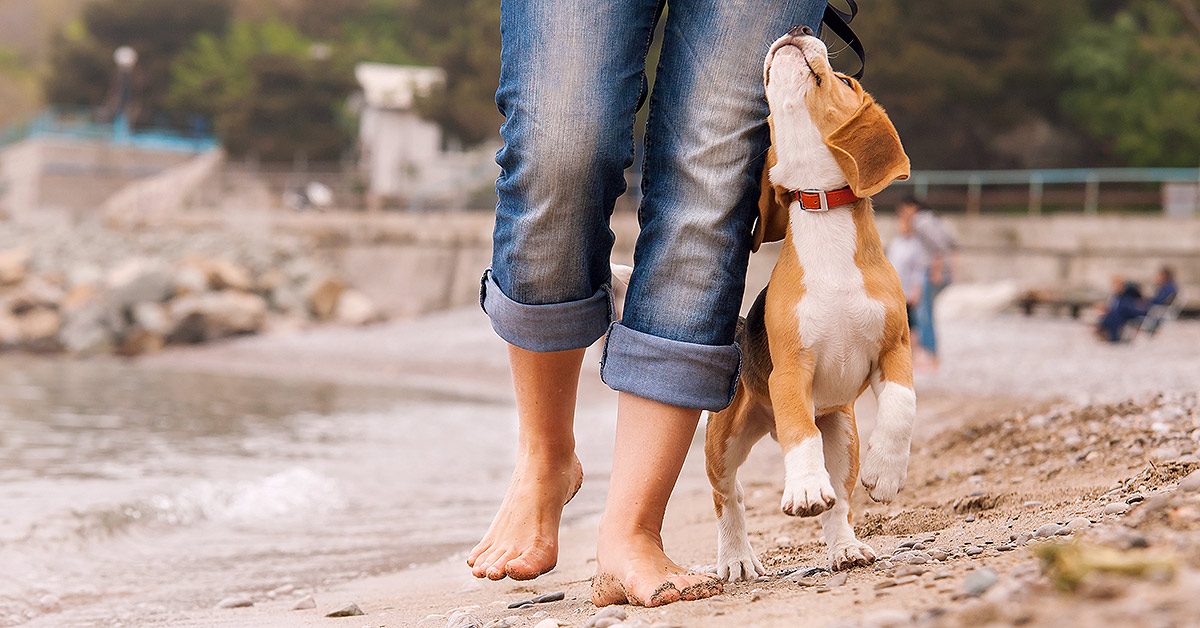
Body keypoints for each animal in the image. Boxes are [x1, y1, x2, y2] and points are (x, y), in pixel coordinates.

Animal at [700, 27, 916, 583]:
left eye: (844, 79)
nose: (799, 30)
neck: (822, 208)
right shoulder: (790, 370)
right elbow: (801, 431)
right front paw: (802, 488)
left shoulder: (895, 348)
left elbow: (901, 405)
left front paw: (887, 473)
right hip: (724, 441)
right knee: (727, 496)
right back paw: (735, 558)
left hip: (843, 432)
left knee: (840, 499)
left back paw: (845, 547)